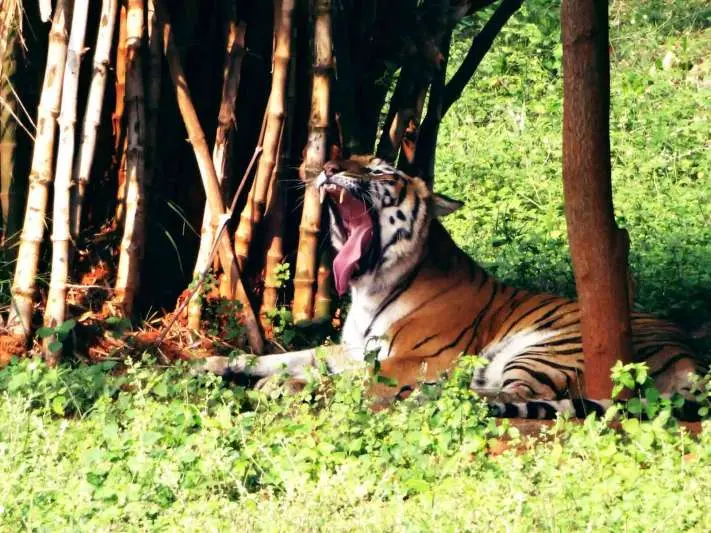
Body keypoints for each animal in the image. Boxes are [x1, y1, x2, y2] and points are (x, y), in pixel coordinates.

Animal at [203, 156, 705, 419]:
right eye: (348, 156)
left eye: (380, 171)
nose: (326, 166)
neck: (370, 286)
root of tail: (690, 358)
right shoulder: (352, 349)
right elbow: (287, 357)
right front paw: (214, 363)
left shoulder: (414, 358)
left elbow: (340, 380)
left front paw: (281, 388)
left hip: (546, 349)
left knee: (512, 398)